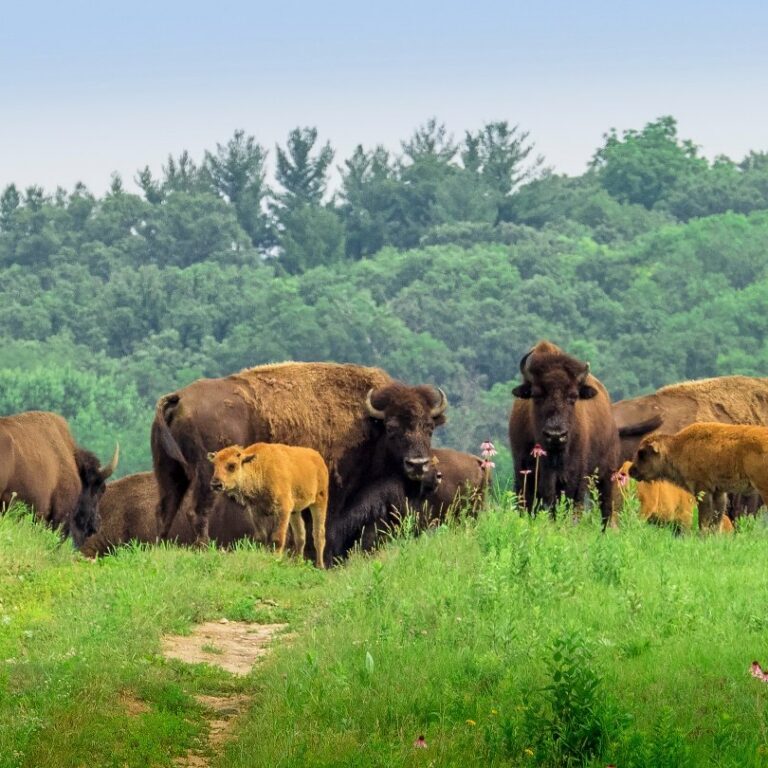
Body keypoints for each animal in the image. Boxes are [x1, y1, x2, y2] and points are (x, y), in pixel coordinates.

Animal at [151, 362, 447, 565]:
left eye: (429, 427)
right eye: (393, 428)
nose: (419, 465)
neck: (368, 422)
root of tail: (179, 397)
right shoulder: (333, 491)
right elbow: (322, 527)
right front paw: (320, 561)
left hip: (170, 473)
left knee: (165, 511)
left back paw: (160, 548)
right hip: (208, 477)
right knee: (197, 512)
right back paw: (203, 551)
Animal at [509, 341, 619, 528]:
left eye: (573, 396)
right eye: (536, 395)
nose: (555, 435)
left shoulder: (576, 475)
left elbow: (572, 504)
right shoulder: (524, 471)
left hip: (606, 472)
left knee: (606, 506)